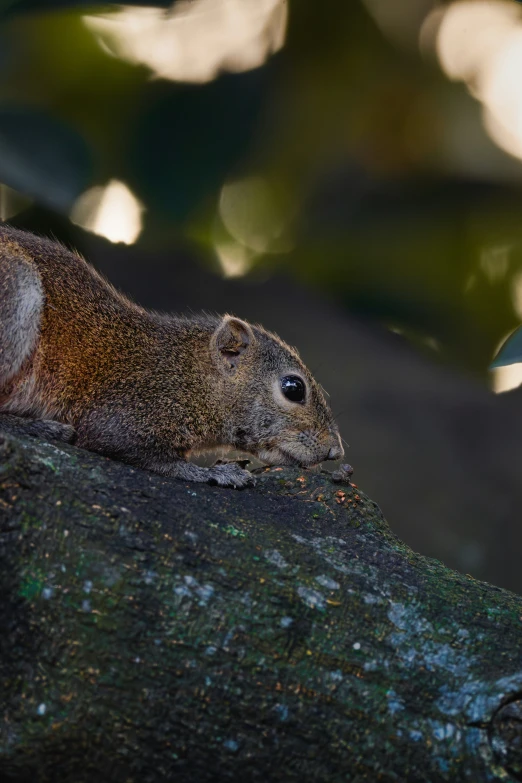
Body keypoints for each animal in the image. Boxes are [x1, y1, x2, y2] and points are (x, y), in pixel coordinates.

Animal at [0, 224, 342, 486]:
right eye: (293, 388)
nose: (335, 452)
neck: (187, 372)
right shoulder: (128, 407)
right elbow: (137, 450)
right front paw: (216, 472)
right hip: (16, 295)